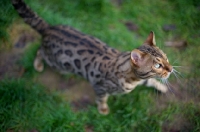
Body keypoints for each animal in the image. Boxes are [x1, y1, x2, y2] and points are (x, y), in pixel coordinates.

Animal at [11, 0, 173, 114]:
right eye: (157, 65)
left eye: (166, 57)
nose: (171, 69)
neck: (133, 80)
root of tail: (49, 28)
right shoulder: (99, 86)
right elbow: (102, 99)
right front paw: (103, 109)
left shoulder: (141, 80)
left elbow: (151, 80)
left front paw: (161, 87)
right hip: (54, 61)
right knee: (40, 51)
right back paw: (38, 65)